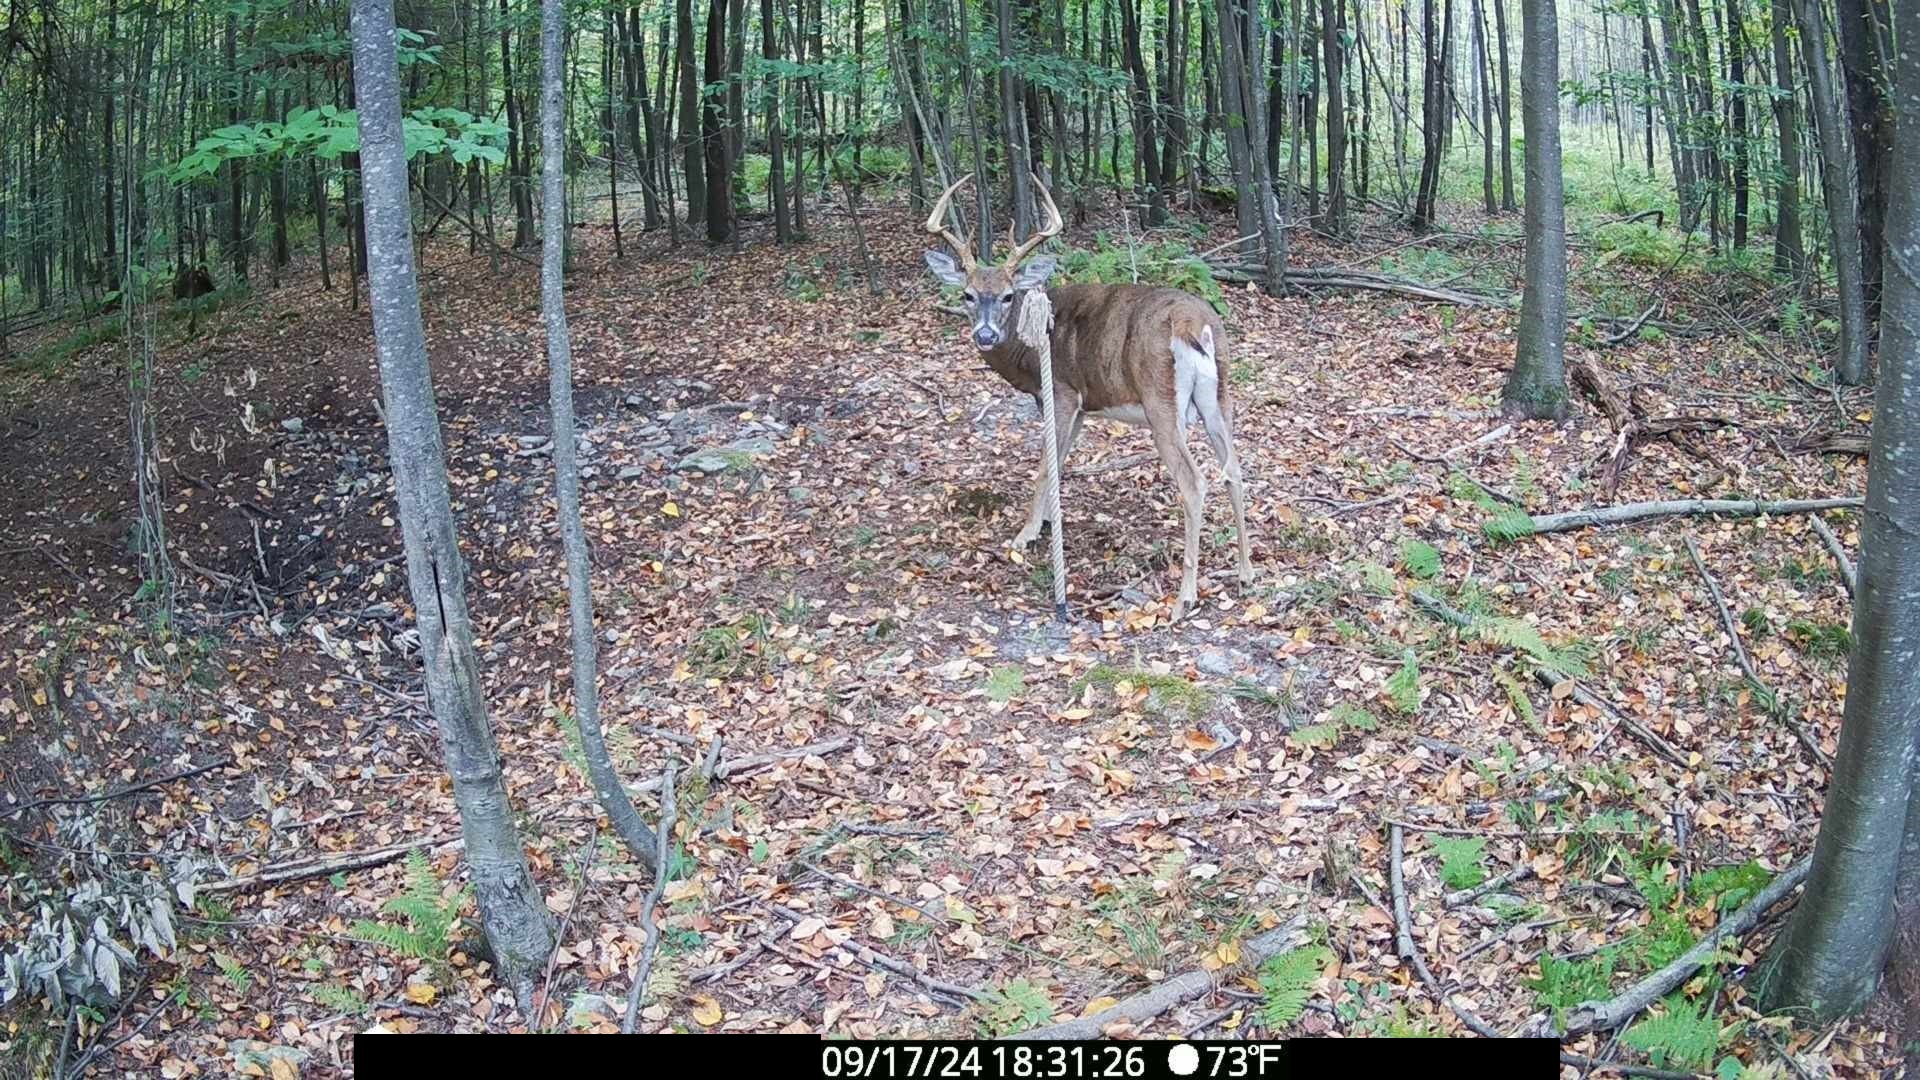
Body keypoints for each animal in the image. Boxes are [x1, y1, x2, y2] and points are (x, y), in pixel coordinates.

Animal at [923, 174, 1253, 620]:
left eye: (1008, 295)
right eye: (967, 295)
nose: (986, 335)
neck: (1029, 347)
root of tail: (1195, 325)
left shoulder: (1061, 391)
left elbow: (1045, 465)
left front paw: (1025, 534)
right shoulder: (1082, 406)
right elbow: (1060, 462)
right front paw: (1047, 523)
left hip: (1161, 402)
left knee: (1195, 481)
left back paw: (1184, 597)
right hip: (1220, 396)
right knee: (1233, 468)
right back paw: (1246, 573)